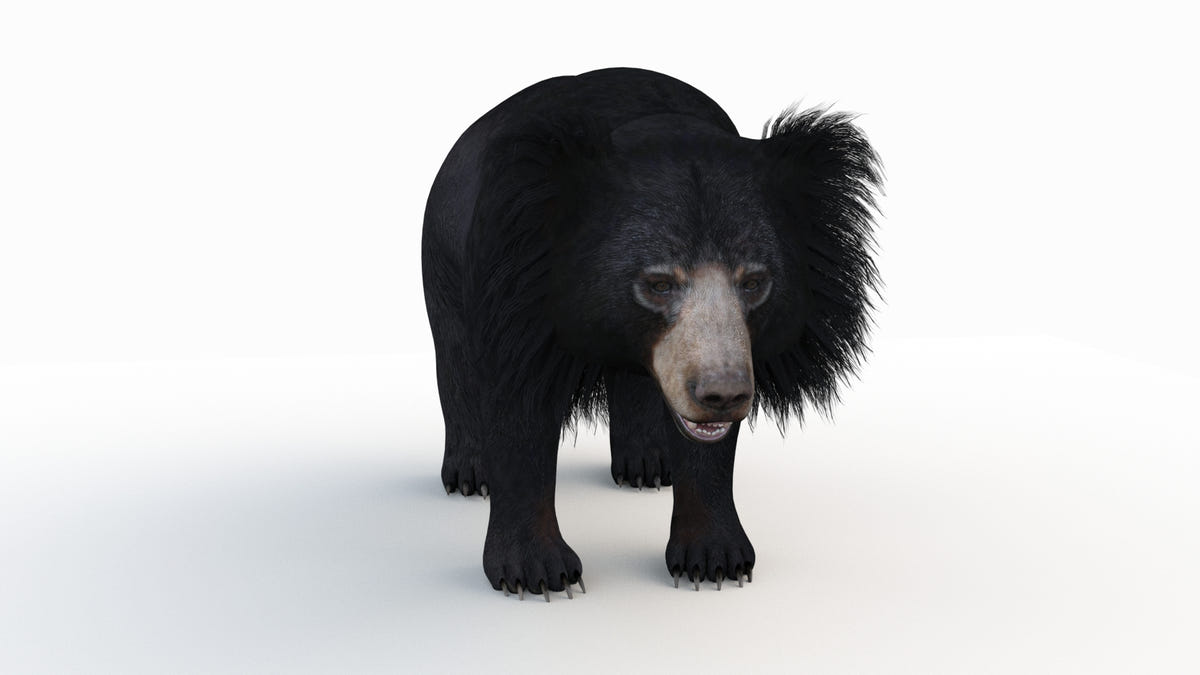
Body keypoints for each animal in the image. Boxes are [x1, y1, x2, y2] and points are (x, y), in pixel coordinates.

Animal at [421, 67, 882, 600]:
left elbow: (708, 449)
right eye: (658, 284)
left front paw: (714, 560)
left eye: (754, 282)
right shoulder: (518, 285)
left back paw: (646, 467)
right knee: (456, 359)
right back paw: (470, 475)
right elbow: (519, 409)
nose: (723, 394)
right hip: (443, 258)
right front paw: (539, 574)